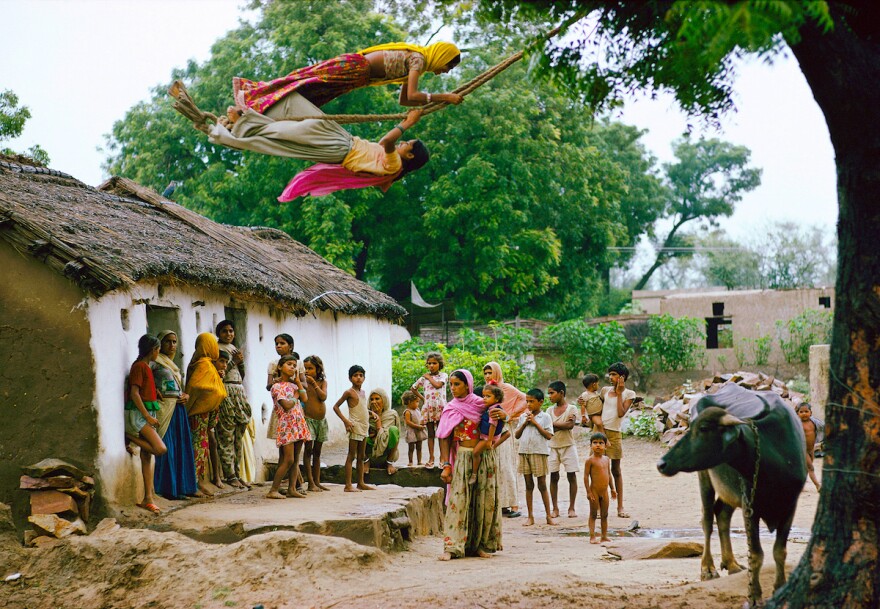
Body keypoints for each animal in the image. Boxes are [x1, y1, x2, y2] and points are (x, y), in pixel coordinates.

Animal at [656, 380, 808, 604]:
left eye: (703, 428)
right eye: (692, 427)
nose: (661, 463)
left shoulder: (791, 505)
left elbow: (780, 551)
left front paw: (780, 588)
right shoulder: (750, 505)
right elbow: (756, 554)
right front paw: (754, 595)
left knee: (722, 513)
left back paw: (732, 563)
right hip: (705, 475)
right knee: (707, 519)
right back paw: (708, 568)